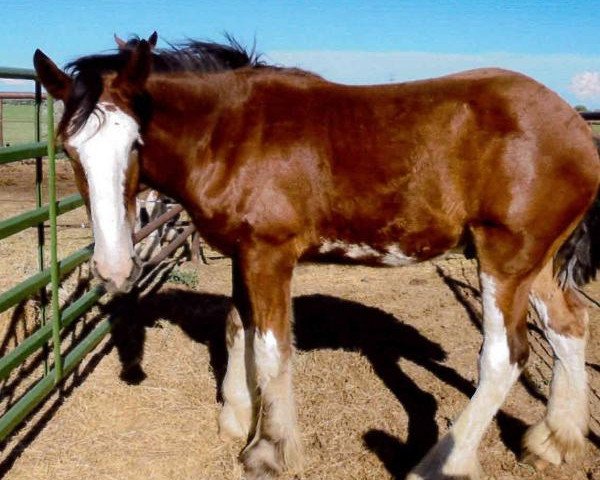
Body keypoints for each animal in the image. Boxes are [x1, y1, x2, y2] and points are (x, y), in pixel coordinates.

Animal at [34, 35, 600, 478]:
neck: (232, 135)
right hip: (535, 264)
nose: (113, 268)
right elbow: (236, 326)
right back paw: (554, 441)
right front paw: (237, 416)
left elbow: (272, 348)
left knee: (505, 357)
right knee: (568, 326)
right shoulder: (244, 254)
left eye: (135, 142)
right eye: (69, 150)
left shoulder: (270, 256)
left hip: (504, 260)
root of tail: (573, 126)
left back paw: (446, 463)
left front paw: (269, 449)